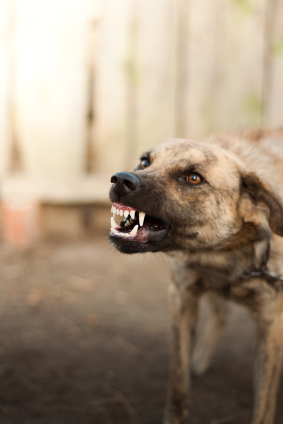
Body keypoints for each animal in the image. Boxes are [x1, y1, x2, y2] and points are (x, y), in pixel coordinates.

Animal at [108, 128, 283, 424]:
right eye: (144, 162)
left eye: (193, 178)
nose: (120, 179)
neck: (225, 255)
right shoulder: (183, 296)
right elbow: (178, 385)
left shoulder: (271, 324)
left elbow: (264, 406)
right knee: (221, 314)